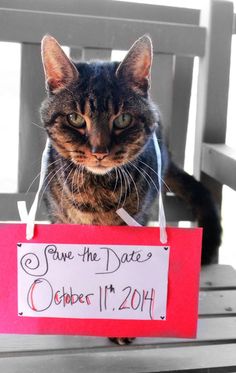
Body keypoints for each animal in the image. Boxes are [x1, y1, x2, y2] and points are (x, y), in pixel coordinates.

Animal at [40, 35, 221, 342]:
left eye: (123, 120)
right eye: (75, 119)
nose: (99, 151)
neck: (96, 192)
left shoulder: (134, 224)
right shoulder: (60, 219)